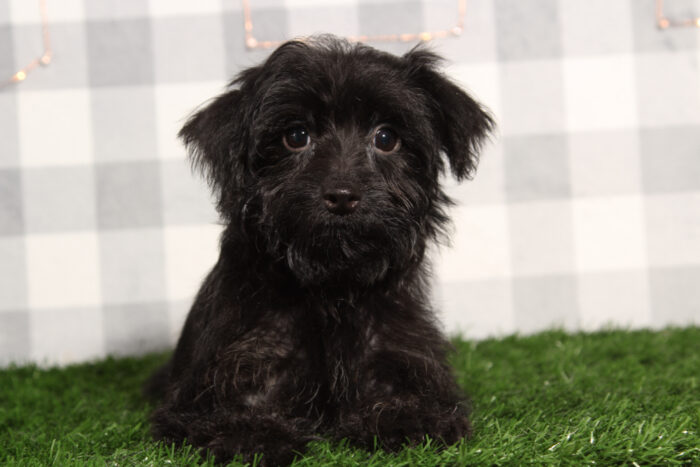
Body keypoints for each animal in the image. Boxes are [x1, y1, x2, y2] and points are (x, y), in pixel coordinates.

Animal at [148, 34, 492, 466]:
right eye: (296, 136)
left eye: (386, 138)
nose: (342, 195)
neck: (331, 289)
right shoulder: (241, 357)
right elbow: (236, 404)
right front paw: (252, 434)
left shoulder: (397, 348)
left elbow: (409, 395)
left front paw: (403, 419)